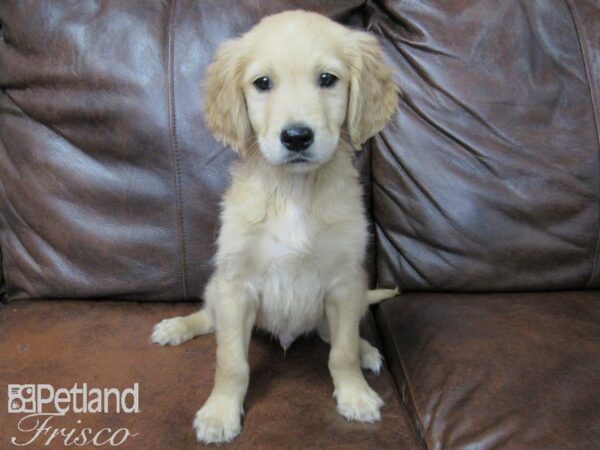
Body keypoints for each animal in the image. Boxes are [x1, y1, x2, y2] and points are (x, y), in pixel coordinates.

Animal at [152, 9, 398, 442]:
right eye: (262, 83)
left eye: (327, 79)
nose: (297, 137)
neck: (294, 190)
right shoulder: (235, 285)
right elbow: (231, 362)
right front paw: (220, 413)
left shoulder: (344, 282)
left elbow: (343, 352)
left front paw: (355, 395)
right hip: (217, 287)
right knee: (208, 317)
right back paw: (177, 327)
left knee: (335, 333)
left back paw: (368, 349)